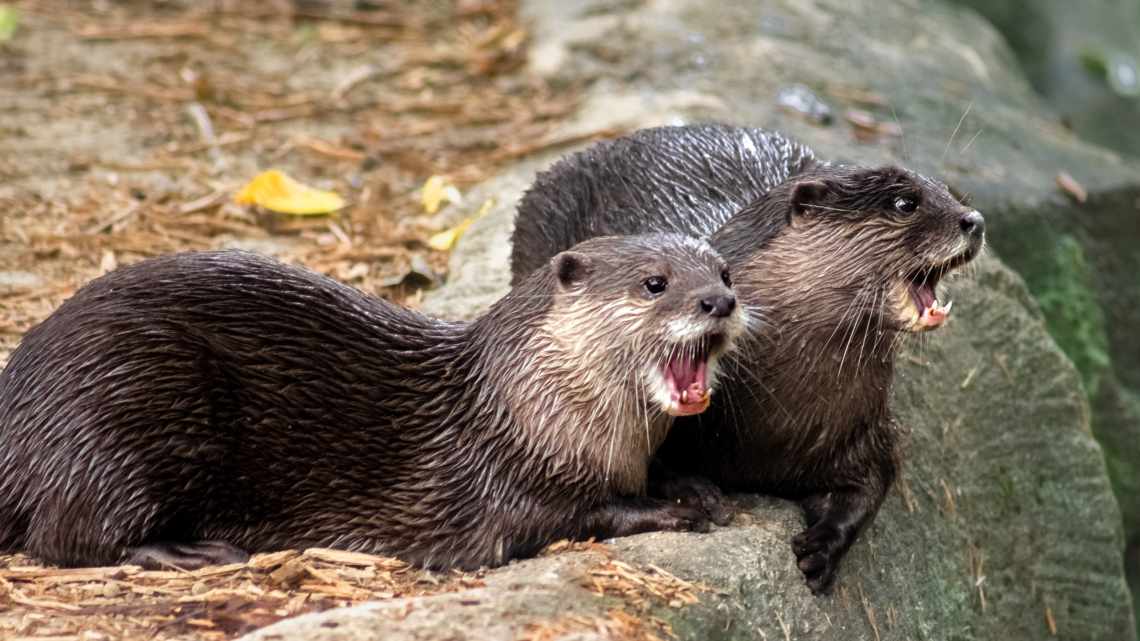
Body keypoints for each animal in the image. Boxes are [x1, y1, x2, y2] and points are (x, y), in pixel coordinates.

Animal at [0, 234, 743, 568]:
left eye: (725, 271)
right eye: (655, 282)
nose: (720, 301)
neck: (527, 411)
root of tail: (20, 412)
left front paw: (694, 484)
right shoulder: (503, 484)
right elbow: (576, 514)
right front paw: (672, 509)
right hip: (120, 409)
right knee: (67, 536)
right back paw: (186, 550)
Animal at [508, 122, 980, 593]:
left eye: (951, 192)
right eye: (905, 203)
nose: (973, 220)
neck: (783, 413)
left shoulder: (864, 426)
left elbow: (872, 484)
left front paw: (821, 548)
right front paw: (695, 492)